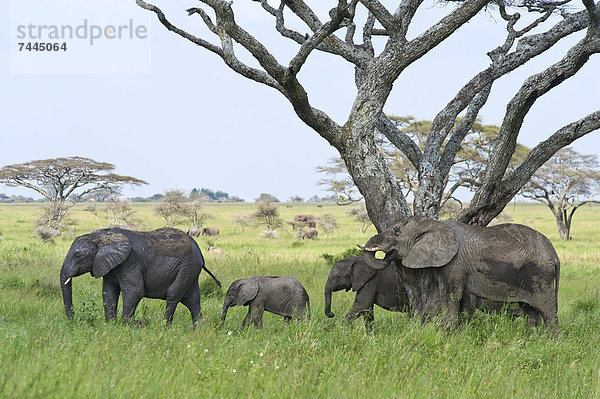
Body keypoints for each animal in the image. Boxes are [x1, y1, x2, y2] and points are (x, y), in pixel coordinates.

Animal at [59, 228, 220, 328]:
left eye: (78, 256)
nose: (73, 319)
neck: (102, 235)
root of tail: (200, 252)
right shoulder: (107, 264)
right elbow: (108, 292)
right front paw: (110, 325)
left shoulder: (130, 261)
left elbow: (135, 291)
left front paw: (125, 326)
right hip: (190, 271)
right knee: (193, 300)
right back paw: (198, 330)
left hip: (187, 268)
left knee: (173, 295)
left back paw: (165, 329)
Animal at [360, 217, 564, 332]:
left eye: (396, 232)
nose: (387, 255)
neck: (434, 223)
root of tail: (555, 256)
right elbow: (436, 297)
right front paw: (421, 331)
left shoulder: (455, 263)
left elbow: (450, 296)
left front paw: (447, 334)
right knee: (530, 311)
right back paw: (529, 339)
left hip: (540, 276)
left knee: (547, 311)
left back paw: (550, 342)